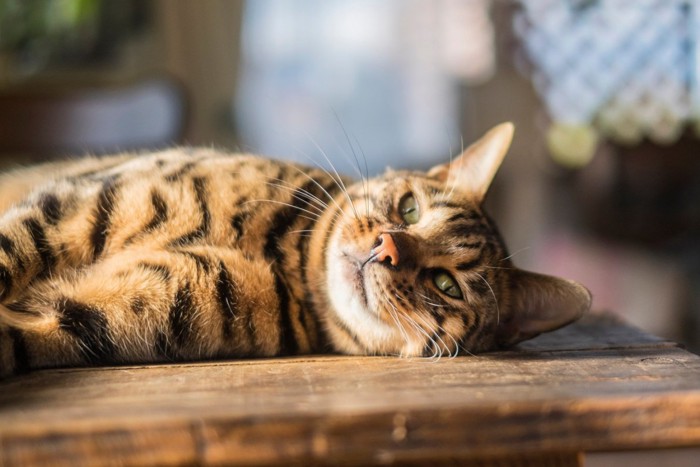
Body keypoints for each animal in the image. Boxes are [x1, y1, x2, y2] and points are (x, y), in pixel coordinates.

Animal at [0, 122, 592, 378]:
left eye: (446, 284)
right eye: (409, 211)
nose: (387, 249)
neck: (279, 254)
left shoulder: (99, 315)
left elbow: (20, 337)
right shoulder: (79, 203)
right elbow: (11, 248)